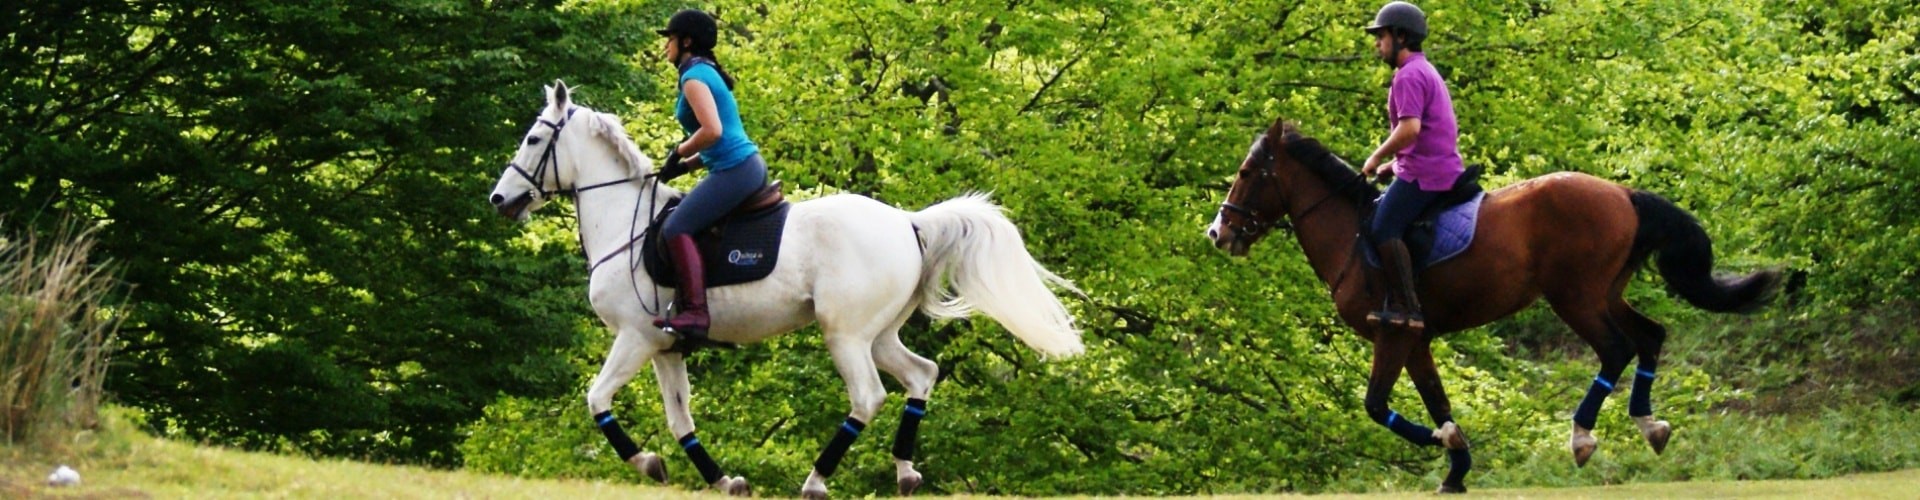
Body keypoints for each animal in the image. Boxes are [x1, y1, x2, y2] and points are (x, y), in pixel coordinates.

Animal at [483, 80, 1082, 496]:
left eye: (533, 138)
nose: (499, 200)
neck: (625, 225)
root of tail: (908, 222)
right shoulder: (666, 346)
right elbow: (680, 419)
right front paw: (724, 481)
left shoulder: (635, 336)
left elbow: (597, 398)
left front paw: (646, 463)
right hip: (878, 334)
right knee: (921, 374)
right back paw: (906, 472)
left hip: (844, 333)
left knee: (868, 397)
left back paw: (816, 482)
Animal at [1205, 117, 1774, 492]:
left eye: (1247, 172)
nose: (1219, 232)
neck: (1350, 233)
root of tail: (1622, 193)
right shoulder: (1415, 340)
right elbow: (1435, 398)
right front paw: (1456, 464)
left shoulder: (1393, 333)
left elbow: (1377, 405)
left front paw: (1444, 445)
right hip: (1606, 292)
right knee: (1650, 335)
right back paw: (1650, 425)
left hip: (1575, 296)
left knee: (1616, 349)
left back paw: (1582, 437)